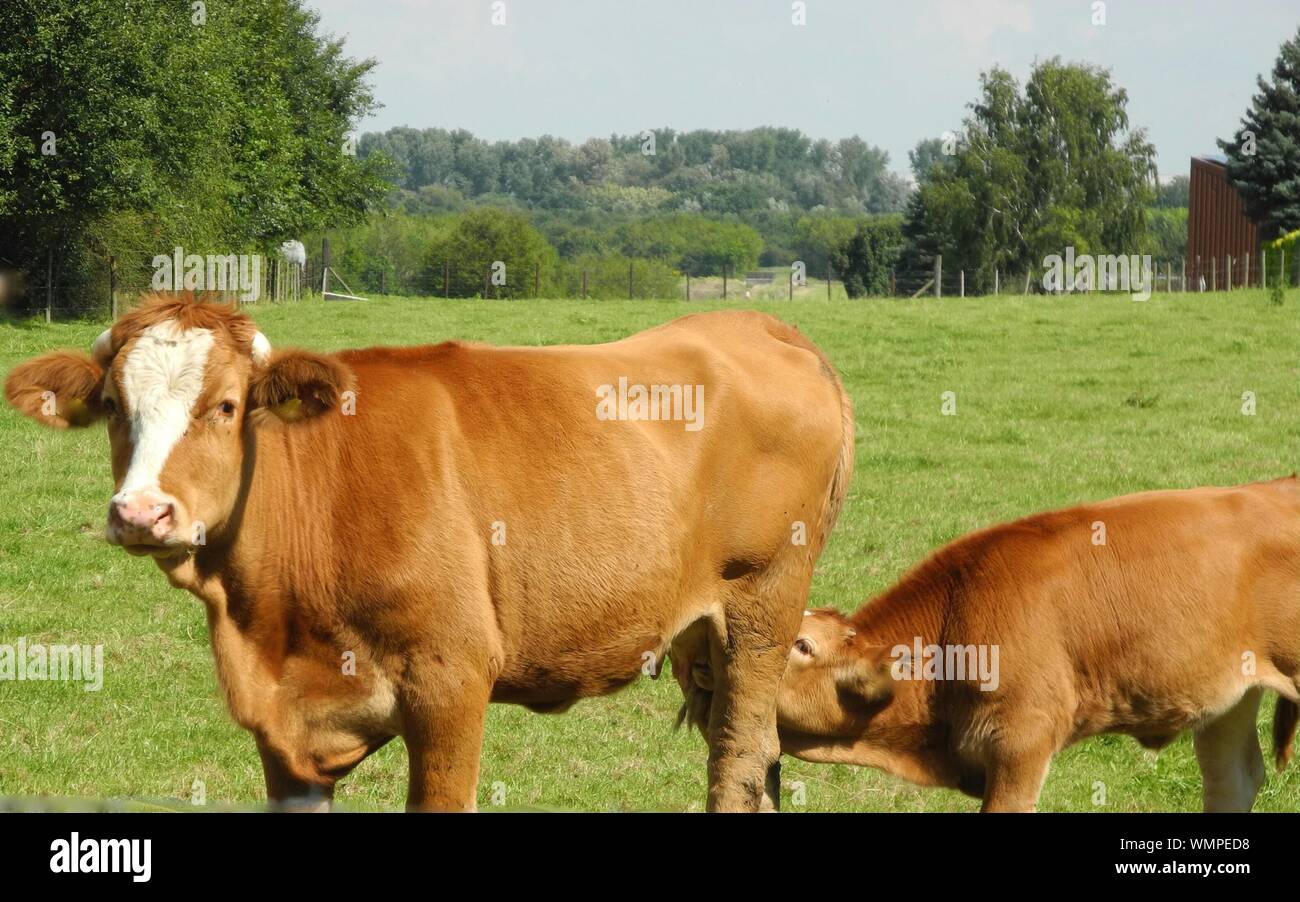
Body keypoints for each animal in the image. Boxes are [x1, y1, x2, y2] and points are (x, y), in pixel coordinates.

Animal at [4, 292, 853, 812]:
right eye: (114, 406)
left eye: (226, 407)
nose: (141, 512)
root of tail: (759, 325)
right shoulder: (284, 731)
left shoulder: (451, 682)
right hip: (696, 634)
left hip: (762, 604)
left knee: (741, 755)